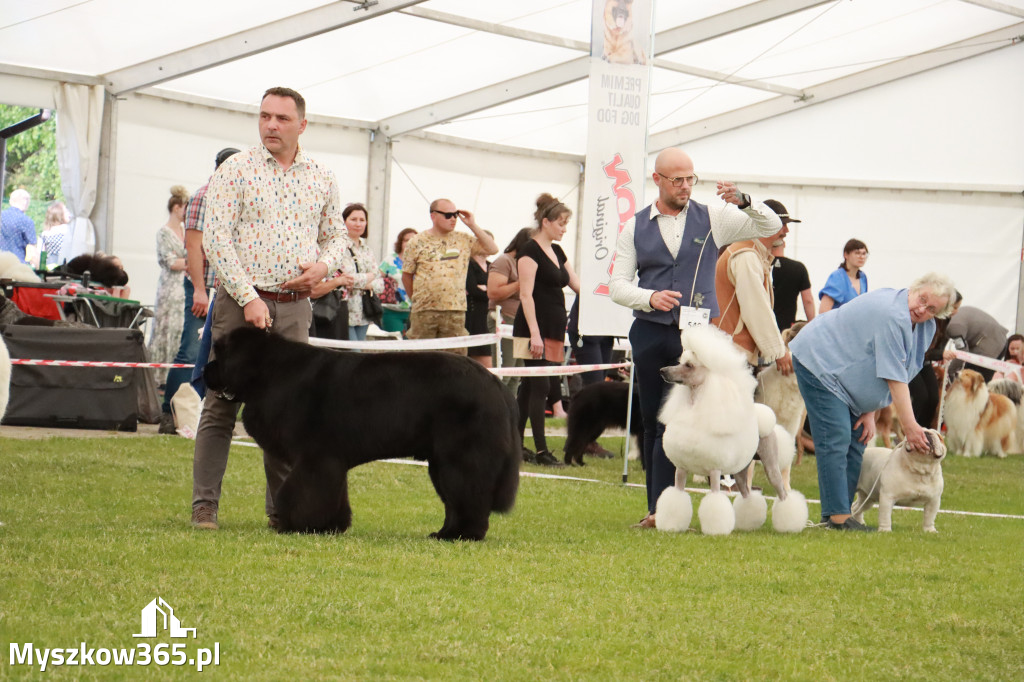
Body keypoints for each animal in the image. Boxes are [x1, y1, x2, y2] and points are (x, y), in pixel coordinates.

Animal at [203, 327, 520, 540]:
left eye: (220, 353)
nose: (204, 371)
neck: (270, 373)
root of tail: (495, 383)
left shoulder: (315, 458)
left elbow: (303, 493)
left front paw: (298, 524)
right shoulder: (330, 461)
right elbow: (332, 494)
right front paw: (331, 526)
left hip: (460, 457)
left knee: (468, 494)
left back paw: (461, 534)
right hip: (441, 463)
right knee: (456, 499)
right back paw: (445, 533)